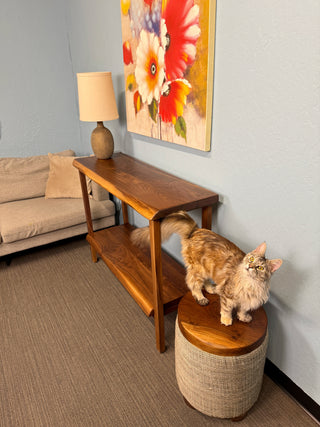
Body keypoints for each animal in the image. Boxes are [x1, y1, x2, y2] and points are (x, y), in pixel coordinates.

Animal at [131, 211, 282, 328]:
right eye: (251, 259)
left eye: (260, 267)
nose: (250, 266)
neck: (250, 284)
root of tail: (196, 230)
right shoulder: (228, 295)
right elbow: (226, 309)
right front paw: (226, 319)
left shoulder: (247, 301)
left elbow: (242, 310)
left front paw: (243, 317)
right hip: (199, 269)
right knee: (193, 284)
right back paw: (201, 297)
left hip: (208, 269)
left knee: (205, 282)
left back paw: (212, 289)